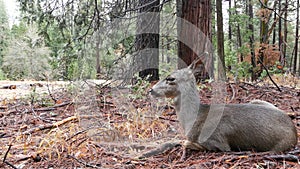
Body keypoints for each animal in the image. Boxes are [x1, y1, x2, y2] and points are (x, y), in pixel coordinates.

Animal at [150, 57, 298, 156]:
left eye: (170, 78)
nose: (151, 90)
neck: (192, 119)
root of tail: (295, 132)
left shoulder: (218, 142)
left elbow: (186, 142)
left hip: (277, 147)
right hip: (257, 100)